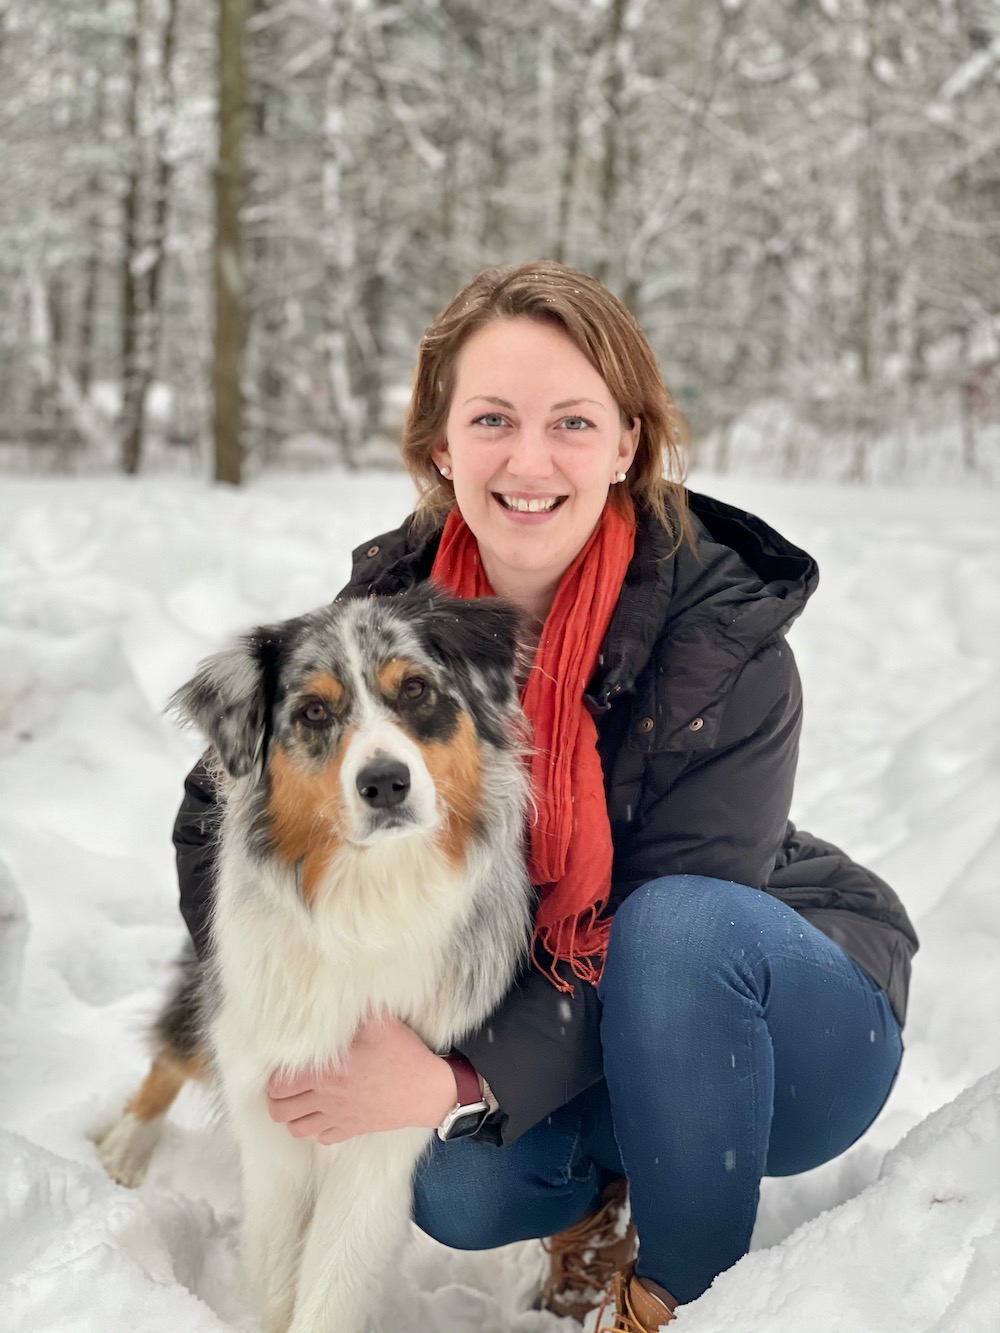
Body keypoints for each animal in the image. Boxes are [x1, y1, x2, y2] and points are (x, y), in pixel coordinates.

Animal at [96, 591, 533, 1333]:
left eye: (415, 690)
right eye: (314, 713)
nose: (385, 782)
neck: (367, 897)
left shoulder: (384, 1132)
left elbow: (330, 1287)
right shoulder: (267, 1101)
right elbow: (277, 1276)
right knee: (175, 1048)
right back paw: (125, 1147)